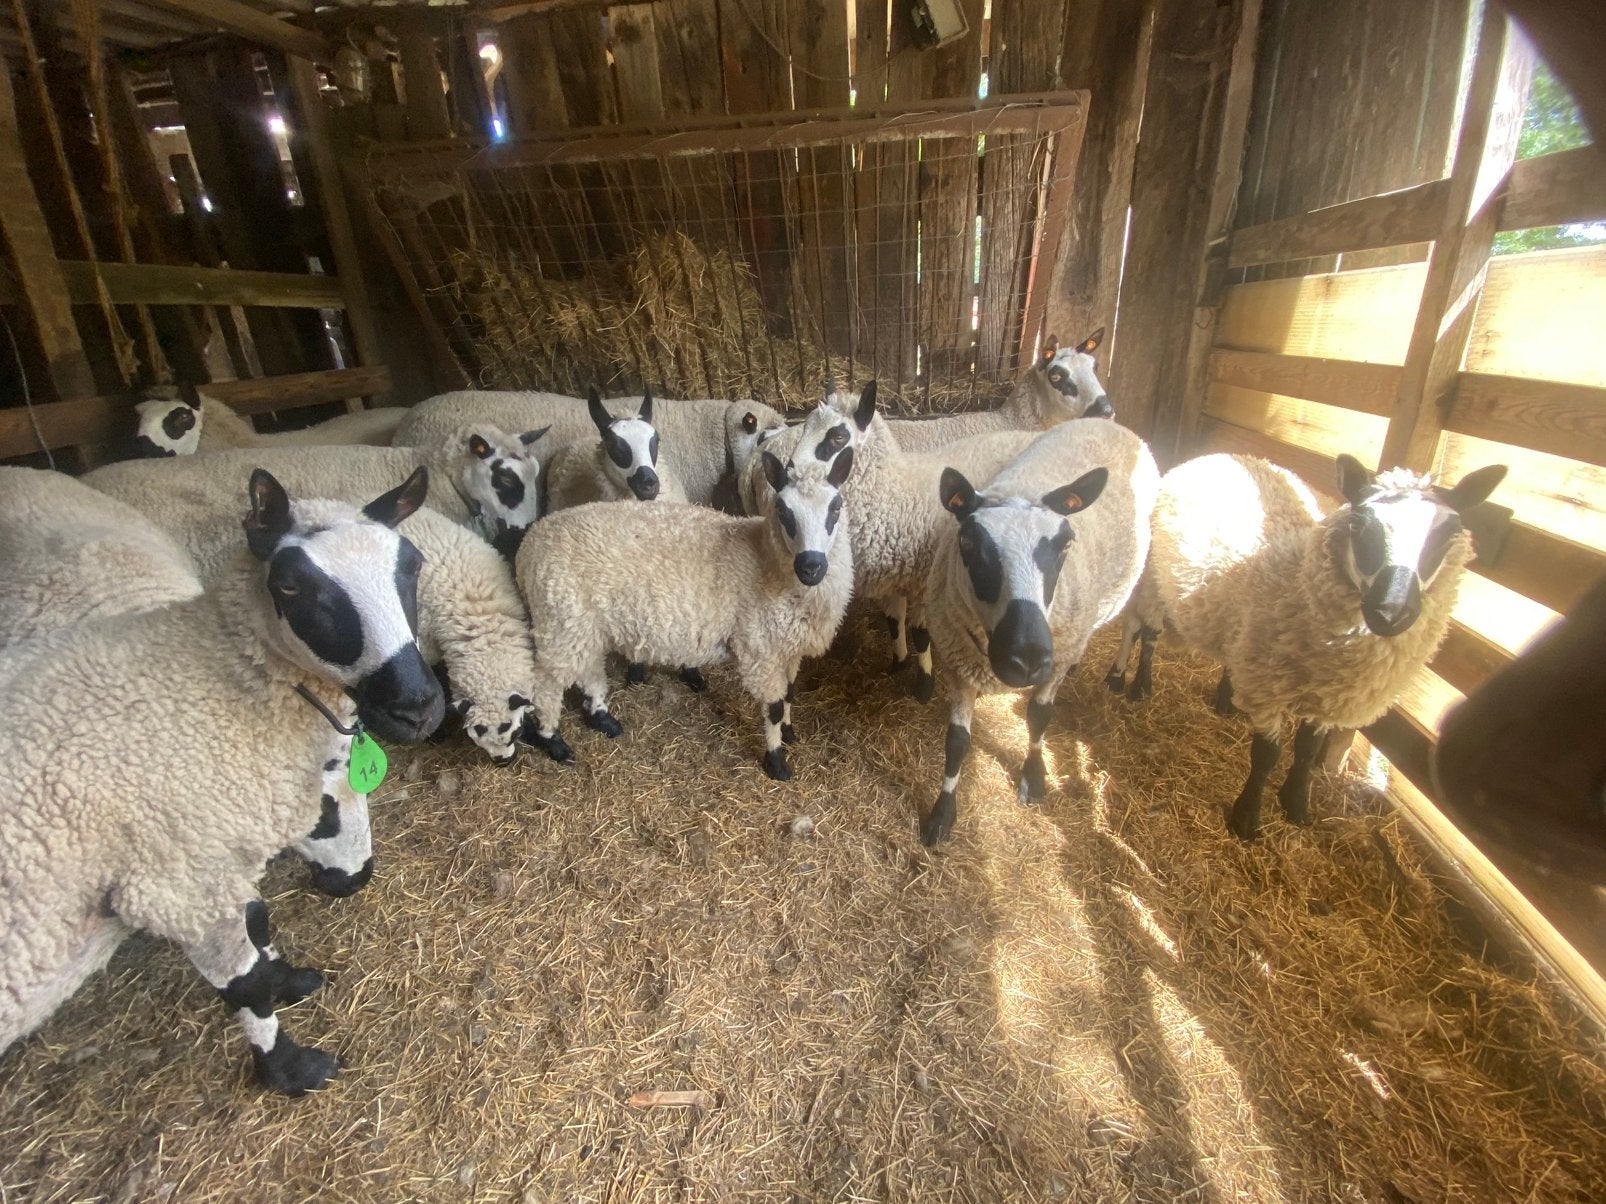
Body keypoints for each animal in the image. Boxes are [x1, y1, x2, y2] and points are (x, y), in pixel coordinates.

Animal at [515, 448, 856, 781]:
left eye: (836, 508)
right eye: (784, 512)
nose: (811, 566)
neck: (765, 562)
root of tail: (528, 547)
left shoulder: (789, 647)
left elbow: (790, 694)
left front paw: (789, 732)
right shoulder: (760, 647)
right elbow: (773, 706)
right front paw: (777, 762)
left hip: (582, 623)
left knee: (587, 667)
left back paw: (603, 719)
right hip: (559, 618)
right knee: (546, 684)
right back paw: (554, 741)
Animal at [919, 419, 1159, 845]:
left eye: (1066, 544)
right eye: (968, 541)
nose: (1027, 657)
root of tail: (1108, 421)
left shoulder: (1054, 659)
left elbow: (1039, 716)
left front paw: (1034, 776)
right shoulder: (958, 664)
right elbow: (957, 743)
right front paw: (942, 814)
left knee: (1136, 622)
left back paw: (1127, 677)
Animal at [1103, 452, 1508, 841]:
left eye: (1449, 534)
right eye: (1359, 526)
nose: (1391, 612)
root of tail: (1222, 455)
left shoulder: (1326, 695)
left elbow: (1308, 749)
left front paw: (1296, 803)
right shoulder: (1269, 685)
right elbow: (1267, 755)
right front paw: (1246, 818)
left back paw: (1225, 697)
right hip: (1154, 581)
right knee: (1146, 632)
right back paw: (1138, 684)